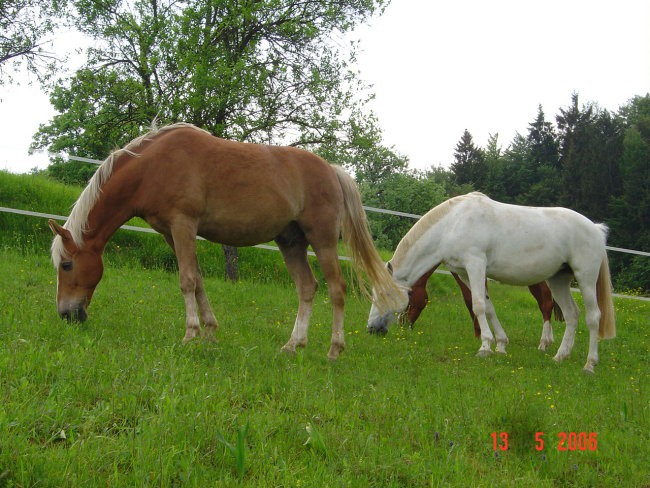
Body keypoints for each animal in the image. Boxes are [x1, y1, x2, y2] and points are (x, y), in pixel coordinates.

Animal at [50, 122, 402, 358]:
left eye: (66, 265)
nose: (66, 315)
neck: (153, 166)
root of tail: (331, 170)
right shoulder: (170, 232)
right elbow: (198, 280)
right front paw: (209, 333)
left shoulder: (183, 224)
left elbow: (187, 280)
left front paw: (190, 334)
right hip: (291, 243)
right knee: (307, 287)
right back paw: (293, 345)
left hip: (323, 239)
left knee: (336, 289)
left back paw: (334, 349)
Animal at [402, 270, 560, 350]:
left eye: (409, 294)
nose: (403, 323)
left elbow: (472, 298)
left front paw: (479, 334)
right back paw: (549, 339)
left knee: (546, 303)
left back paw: (543, 343)